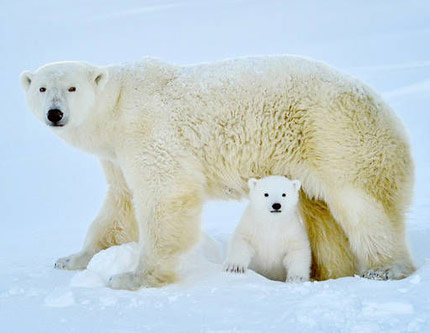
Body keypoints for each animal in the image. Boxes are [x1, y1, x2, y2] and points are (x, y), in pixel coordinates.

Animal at [21, 55, 416, 290]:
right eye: (42, 88)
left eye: (72, 87)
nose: (55, 113)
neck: (118, 108)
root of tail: (383, 108)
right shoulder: (117, 155)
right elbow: (120, 207)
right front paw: (71, 259)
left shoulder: (149, 132)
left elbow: (165, 195)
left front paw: (132, 277)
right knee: (322, 215)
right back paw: (327, 271)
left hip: (336, 136)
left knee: (361, 204)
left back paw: (385, 268)